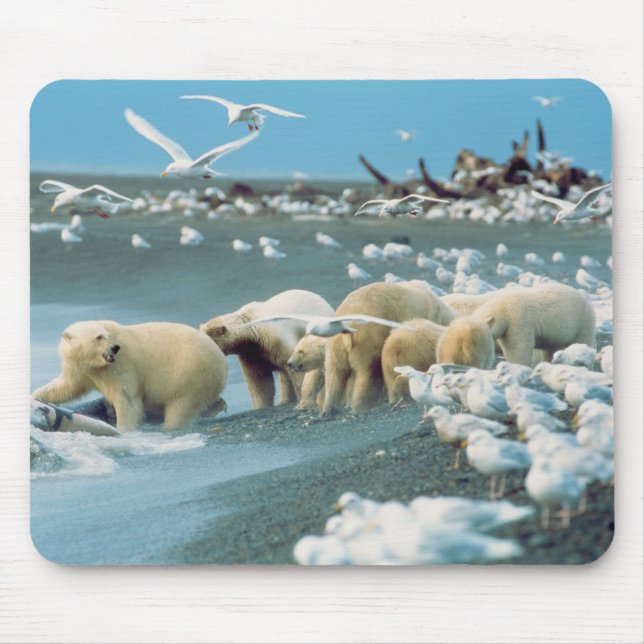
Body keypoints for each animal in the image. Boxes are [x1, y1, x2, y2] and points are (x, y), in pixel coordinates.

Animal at [31, 320, 227, 431]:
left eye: (107, 335)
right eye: (99, 337)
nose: (115, 347)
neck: (96, 364)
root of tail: (221, 362)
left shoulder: (121, 364)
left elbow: (127, 398)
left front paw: (125, 429)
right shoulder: (79, 367)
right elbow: (67, 386)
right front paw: (36, 395)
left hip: (189, 374)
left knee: (181, 406)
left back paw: (167, 426)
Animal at [200, 289, 334, 409]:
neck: (251, 332)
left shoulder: (275, 340)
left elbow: (296, 369)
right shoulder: (251, 353)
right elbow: (259, 379)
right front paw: (261, 405)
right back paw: (284, 401)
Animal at [321, 280, 459, 416]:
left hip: (334, 343)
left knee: (334, 373)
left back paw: (329, 409)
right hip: (369, 338)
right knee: (366, 371)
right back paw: (360, 406)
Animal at [436, 283, 596, 367]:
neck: (504, 306)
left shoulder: (519, 320)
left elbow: (518, 347)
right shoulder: (507, 328)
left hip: (581, 322)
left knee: (582, 339)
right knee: (551, 347)